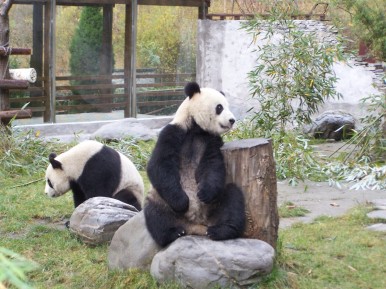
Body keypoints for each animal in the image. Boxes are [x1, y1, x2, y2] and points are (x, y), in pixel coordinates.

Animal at [143, 81, 246, 245]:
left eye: (227, 106)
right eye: (219, 107)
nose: (232, 120)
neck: (196, 128)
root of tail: (196, 226)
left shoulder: (211, 140)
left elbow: (213, 164)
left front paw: (204, 193)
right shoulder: (173, 132)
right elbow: (159, 164)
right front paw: (182, 202)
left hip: (214, 205)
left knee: (233, 197)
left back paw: (221, 230)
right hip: (163, 201)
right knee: (154, 212)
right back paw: (173, 233)